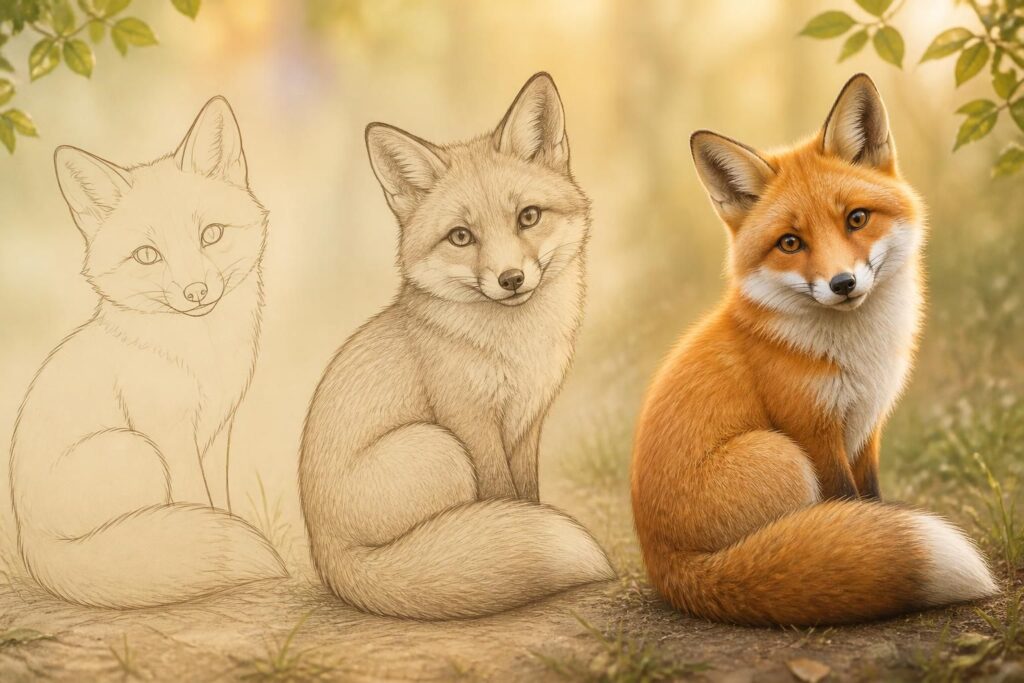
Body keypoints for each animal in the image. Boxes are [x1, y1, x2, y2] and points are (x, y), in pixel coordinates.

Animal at [9, 97, 287, 608]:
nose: (196, 292)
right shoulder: (170, 433)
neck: (201, 357)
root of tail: (32, 545)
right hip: (136, 449)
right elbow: (198, 503)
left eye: (211, 234)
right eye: (146, 255)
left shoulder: (217, 432)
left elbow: (219, 505)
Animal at [299, 72, 615, 620]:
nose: (511, 279)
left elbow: (526, 499)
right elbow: (504, 499)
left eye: (529, 216)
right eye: (461, 237)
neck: (515, 349)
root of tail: (329, 559)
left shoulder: (527, 423)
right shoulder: (469, 421)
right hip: (438, 446)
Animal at [630, 74, 997, 626]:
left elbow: (870, 502)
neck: (856, 355)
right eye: (790, 243)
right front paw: (860, 553)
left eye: (857, 219)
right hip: (779, 454)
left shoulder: (867, 425)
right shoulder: (813, 430)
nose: (842, 283)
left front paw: (870, 542)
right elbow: (847, 503)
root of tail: (669, 569)